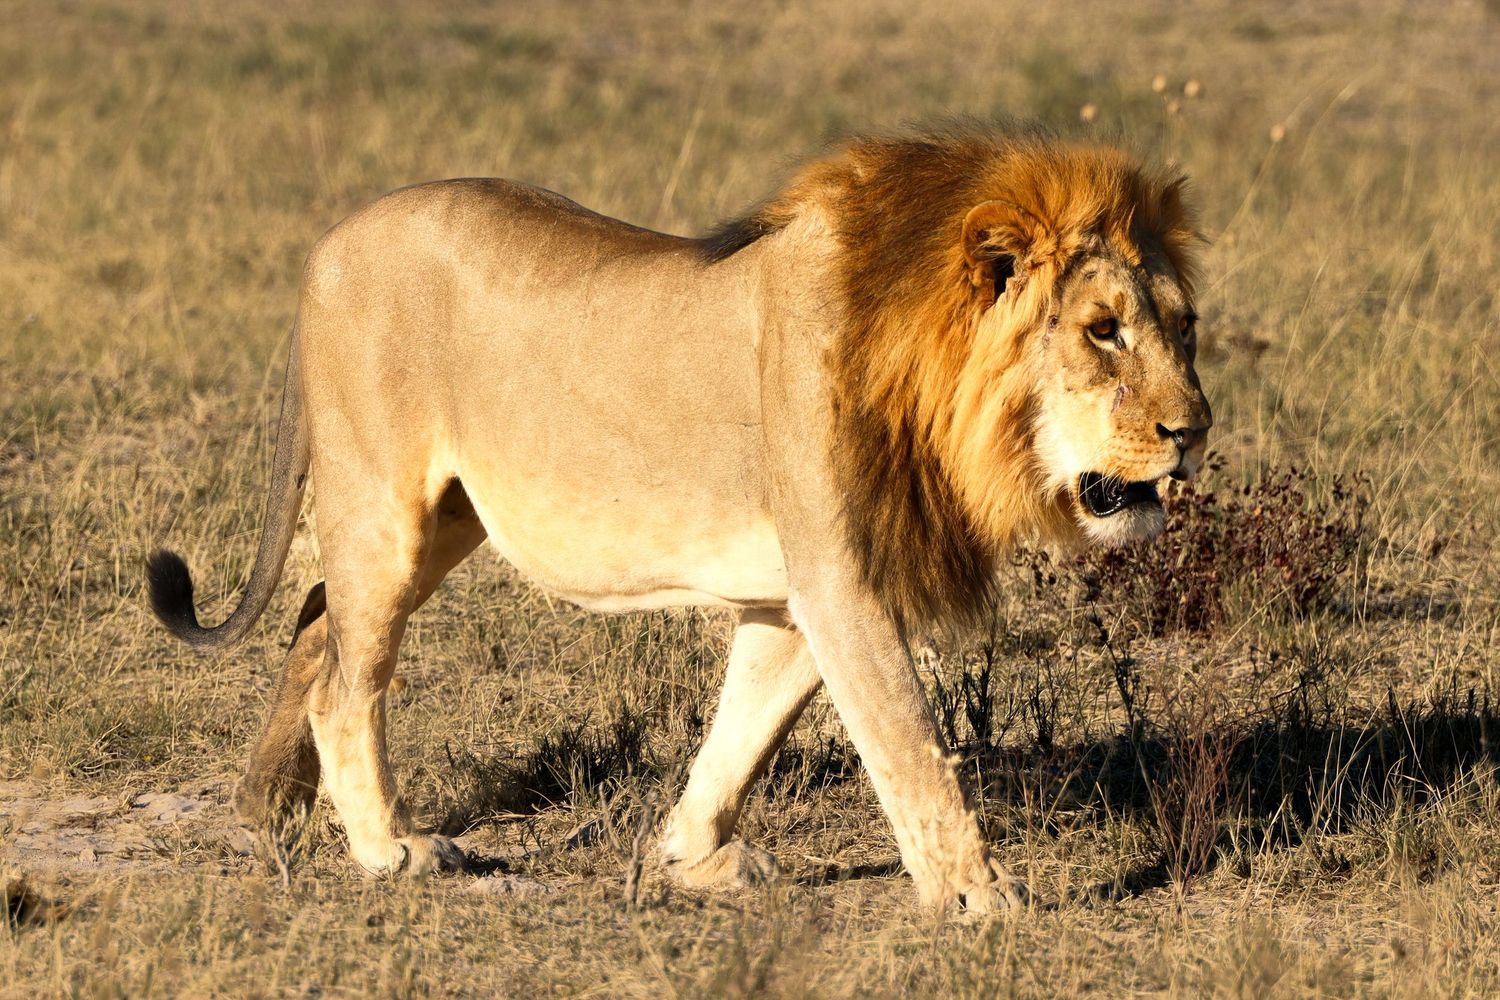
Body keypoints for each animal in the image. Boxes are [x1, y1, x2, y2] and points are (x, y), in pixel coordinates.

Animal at [146, 123, 1211, 912]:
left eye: (1184, 326)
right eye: (1103, 330)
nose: (1194, 430)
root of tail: (326, 247)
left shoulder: (796, 595)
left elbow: (741, 733)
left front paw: (693, 858)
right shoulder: (842, 579)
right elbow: (911, 747)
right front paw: (982, 902)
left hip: (448, 517)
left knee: (313, 617)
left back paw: (266, 806)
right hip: (385, 506)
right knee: (345, 680)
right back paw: (387, 848)